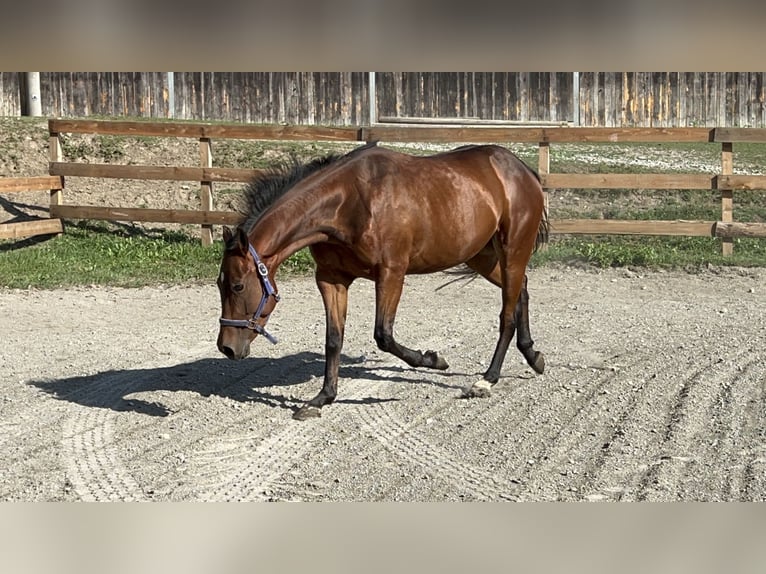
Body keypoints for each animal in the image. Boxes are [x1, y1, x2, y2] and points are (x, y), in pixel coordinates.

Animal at [216, 141, 549, 420]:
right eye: (220, 285)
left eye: (237, 286)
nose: (227, 348)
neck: (347, 203)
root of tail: (521, 169)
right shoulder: (331, 278)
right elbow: (333, 339)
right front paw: (322, 398)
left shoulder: (391, 273)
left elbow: (383, 335)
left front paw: (434, 359)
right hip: (482, 256)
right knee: (522, 291)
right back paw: (534, 356)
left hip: (512, 251)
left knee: (507, 315)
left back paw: (487, 380)